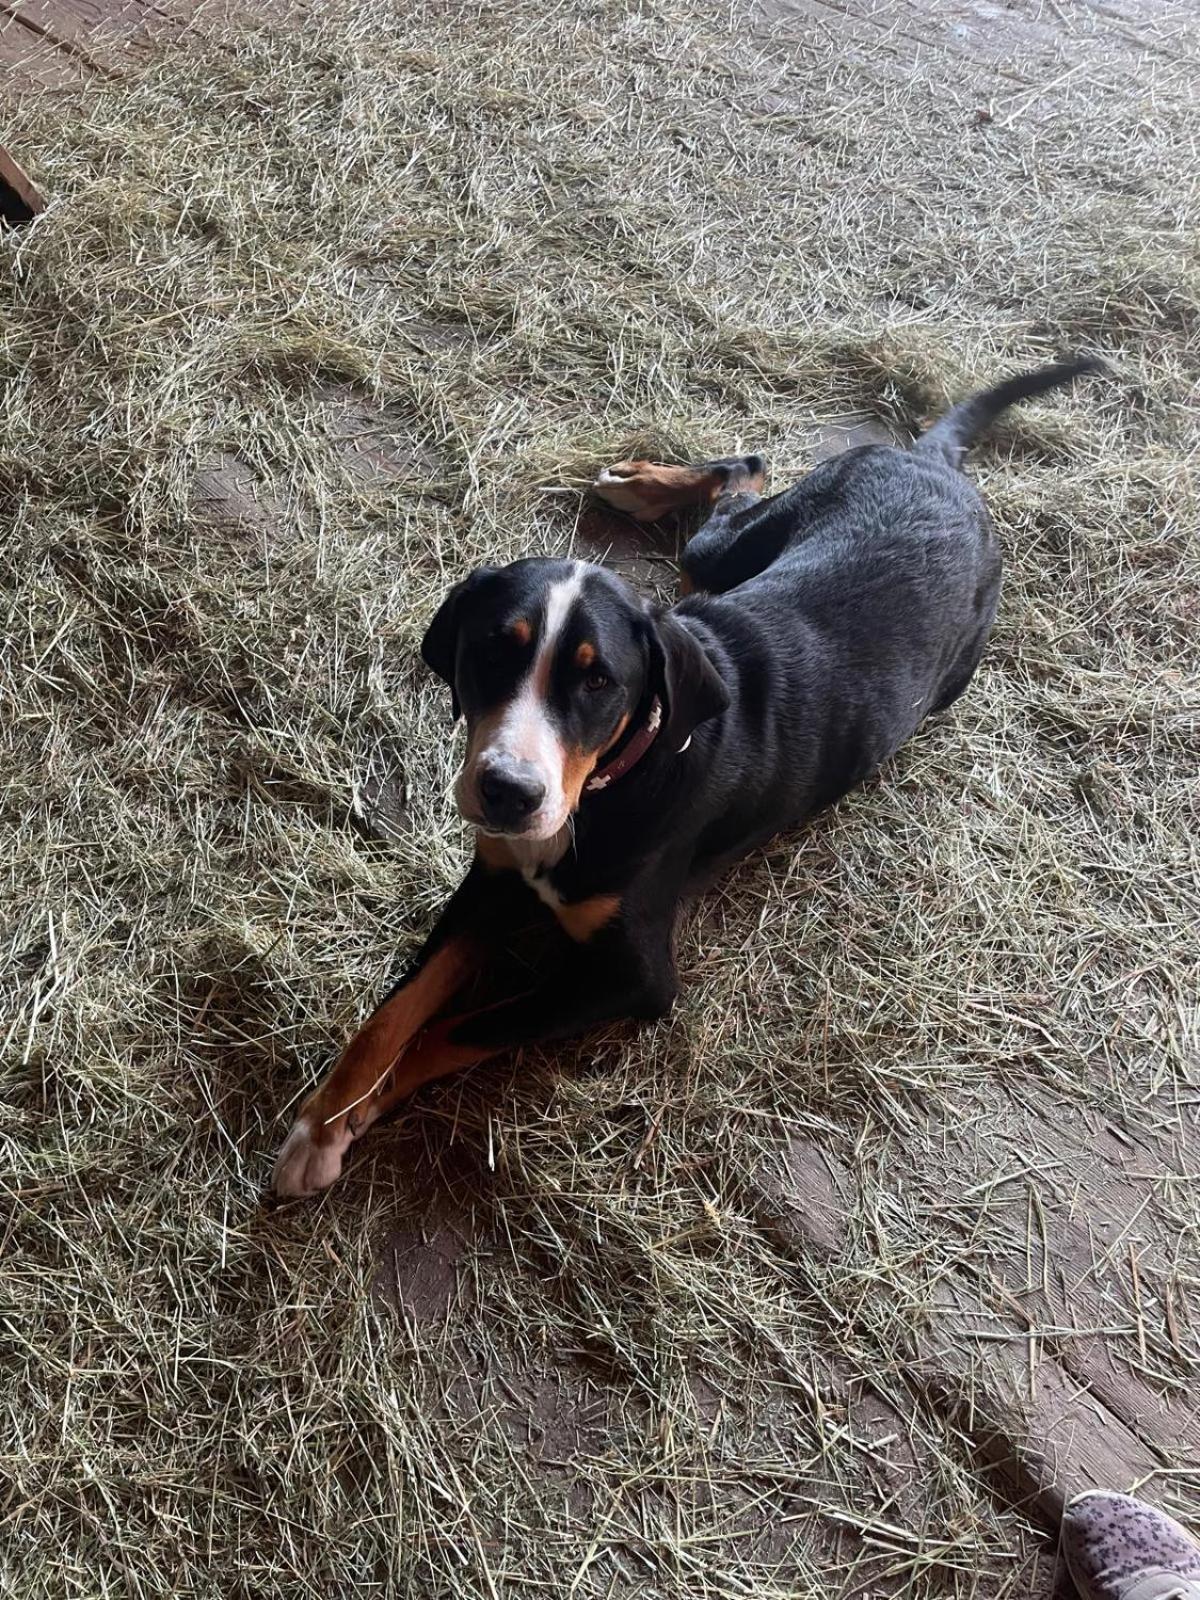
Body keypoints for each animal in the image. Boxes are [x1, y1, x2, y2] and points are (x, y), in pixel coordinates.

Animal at [272, 356, 1100, 1196]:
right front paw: (324, 1121)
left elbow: (457, 1027)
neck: (611, 785)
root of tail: (933, 464)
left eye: (598, 681)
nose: (508, 792)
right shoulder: (491, 880)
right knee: (743, 471)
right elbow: (396, 1010)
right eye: (492, 651)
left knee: (746, 479)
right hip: (733, 551)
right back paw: (640, 481)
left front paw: (347, 1121)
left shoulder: (631, 976)